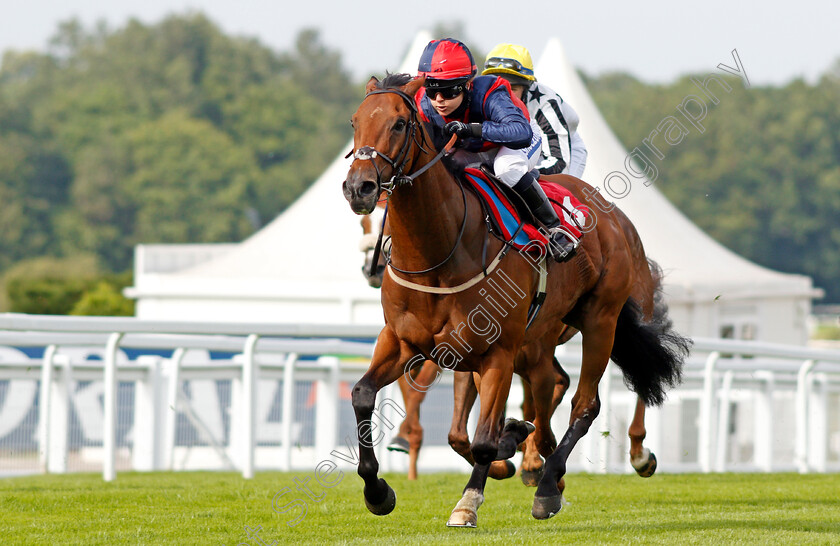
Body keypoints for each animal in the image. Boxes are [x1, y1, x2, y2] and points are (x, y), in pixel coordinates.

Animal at [342, 72, 688, 524]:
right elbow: (367, 397)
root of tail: (614, 218)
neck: (439, 252)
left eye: (399, 124)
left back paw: (559, 481)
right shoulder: (404, 342)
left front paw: (470, 501)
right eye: (355, 121)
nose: (359, 187)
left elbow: (484, 438)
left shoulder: (500, 353)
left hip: (600, 320)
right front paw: (377, 491)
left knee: (585, 403)